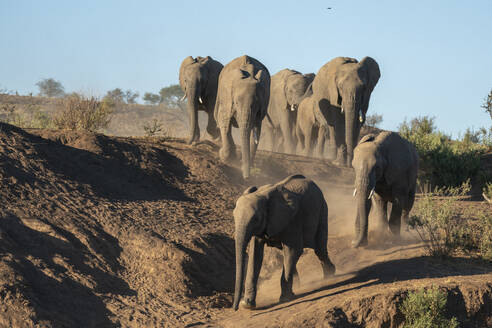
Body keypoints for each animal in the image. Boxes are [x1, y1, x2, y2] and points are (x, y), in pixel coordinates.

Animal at [234, 174, 334, 310]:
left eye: (256, 219)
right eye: (233, 217)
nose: (235, 308)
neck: (263, 195)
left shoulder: (293, 219)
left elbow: (294, 250)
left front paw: (285, 299)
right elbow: (256, 255)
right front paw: (247, 305)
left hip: (322, 209)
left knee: (319, 249)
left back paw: (329, 276)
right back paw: (298, 285)